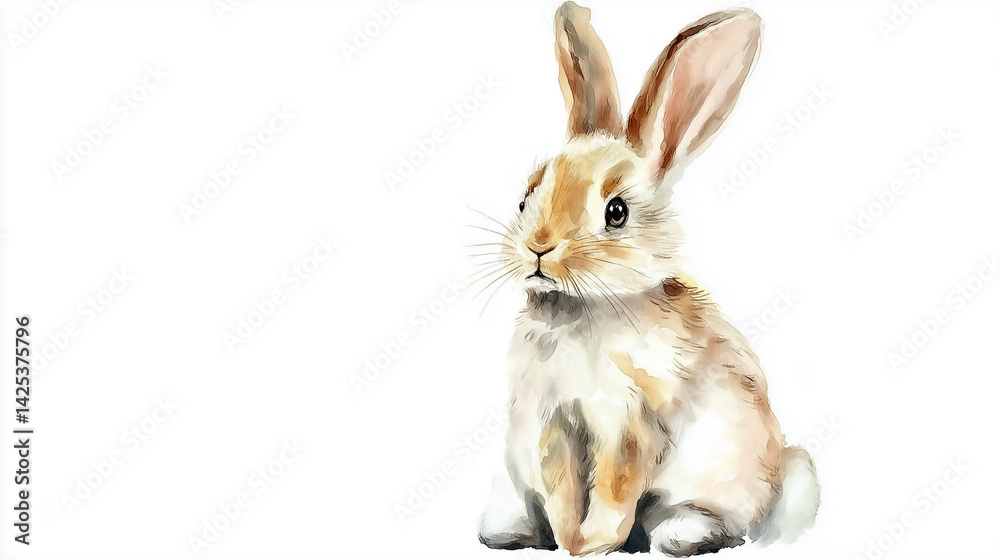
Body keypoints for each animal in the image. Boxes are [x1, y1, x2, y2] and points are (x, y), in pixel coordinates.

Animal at [476, 2, 820, 556]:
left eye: (616, 212)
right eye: (526, 199)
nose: (539, 247)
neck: (586, 307)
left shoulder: (630, 426)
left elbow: (614, 492)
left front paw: (591, 545)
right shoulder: (554, 425)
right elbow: (561, 491)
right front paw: (569, 543)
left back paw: (682, 535)